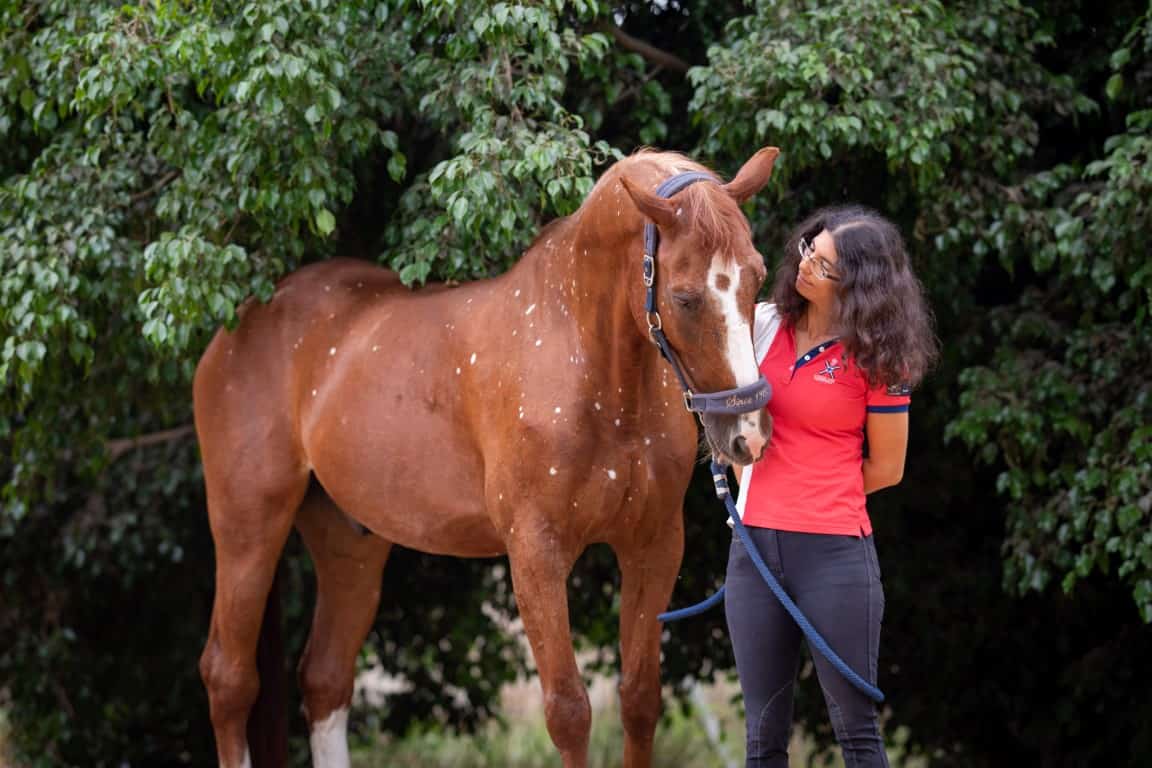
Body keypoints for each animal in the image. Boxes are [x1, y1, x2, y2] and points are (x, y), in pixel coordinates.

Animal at [193, 146, 780, 768]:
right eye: (686, 297)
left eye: (758, 277)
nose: (748, 433)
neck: (595, 367)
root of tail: (237, 324)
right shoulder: (536, 554)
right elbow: (569, 713)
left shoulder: (654, 546)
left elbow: (641, 700)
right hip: (248, 526)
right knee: (229, 678)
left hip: (349, 542)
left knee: (325, 679)